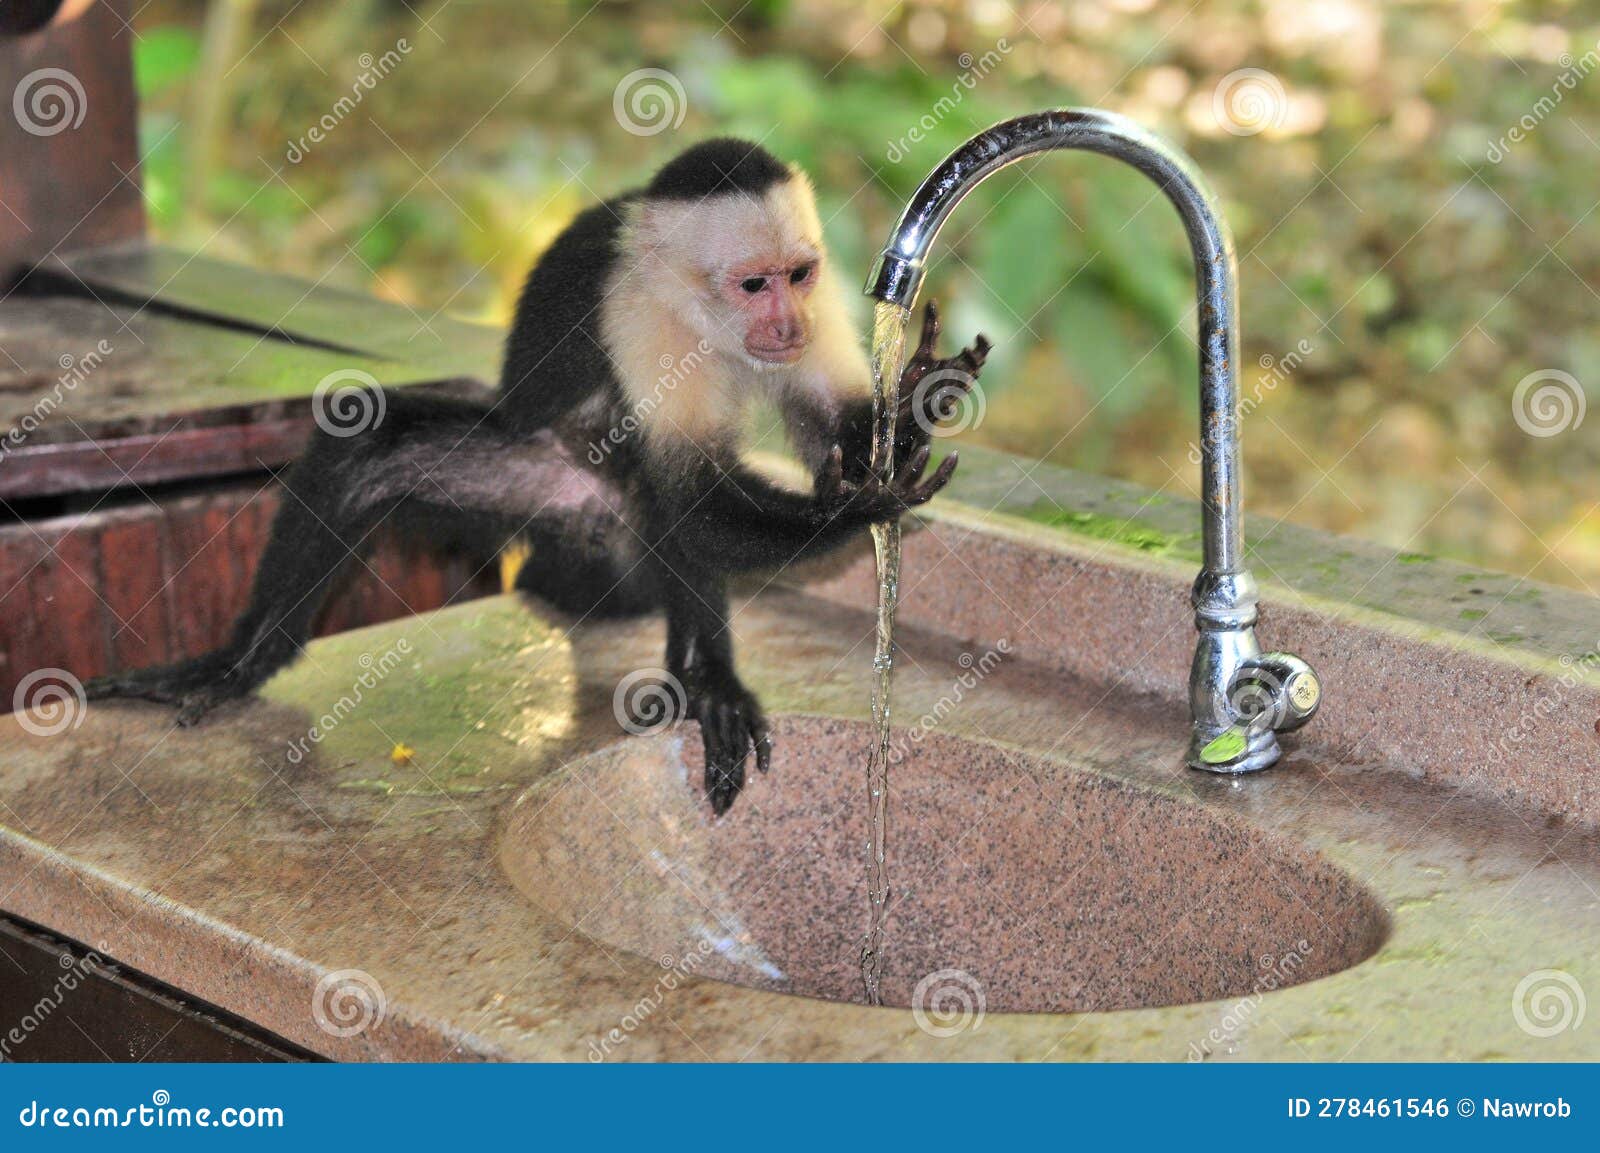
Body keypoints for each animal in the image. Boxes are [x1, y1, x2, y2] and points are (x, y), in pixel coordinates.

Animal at [86, 138, 991, 815]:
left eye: (797, 275)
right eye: (752, 283)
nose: (785, 322)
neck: (705, 318)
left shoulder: (825, 308)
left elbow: (825, 430)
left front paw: (911, 408)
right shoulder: (638, 316)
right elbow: (692, 497)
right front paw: (860, 508)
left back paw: (705, 675)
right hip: (562, 493)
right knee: (385, 456)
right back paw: (238, 664)